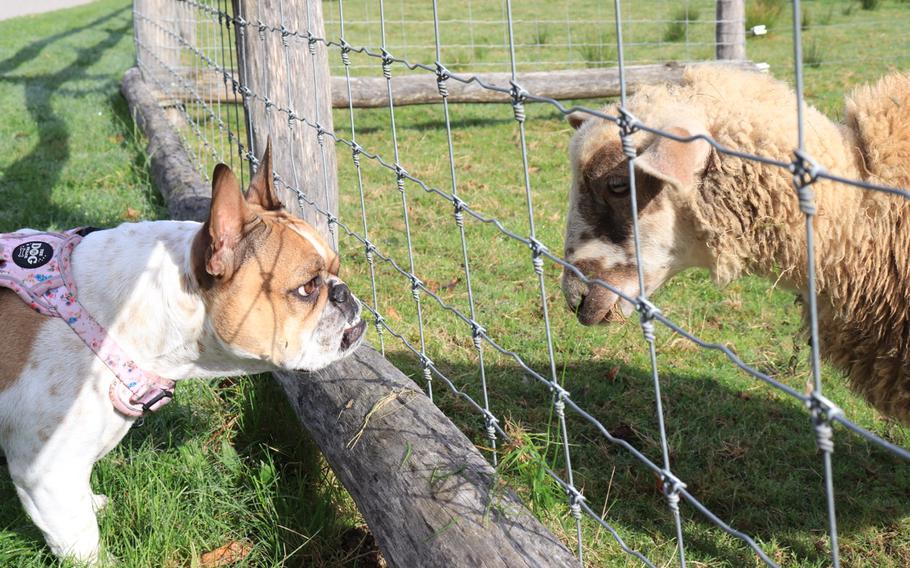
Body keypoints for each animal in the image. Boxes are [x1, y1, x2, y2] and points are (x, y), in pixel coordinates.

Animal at [0, 144, 366, 560]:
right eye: (306, 288)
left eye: (337, 269)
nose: (344, 293)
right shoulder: (45, 472)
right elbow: (80, 538)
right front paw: (103, 560)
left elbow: (82, 502)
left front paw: (93, 501)